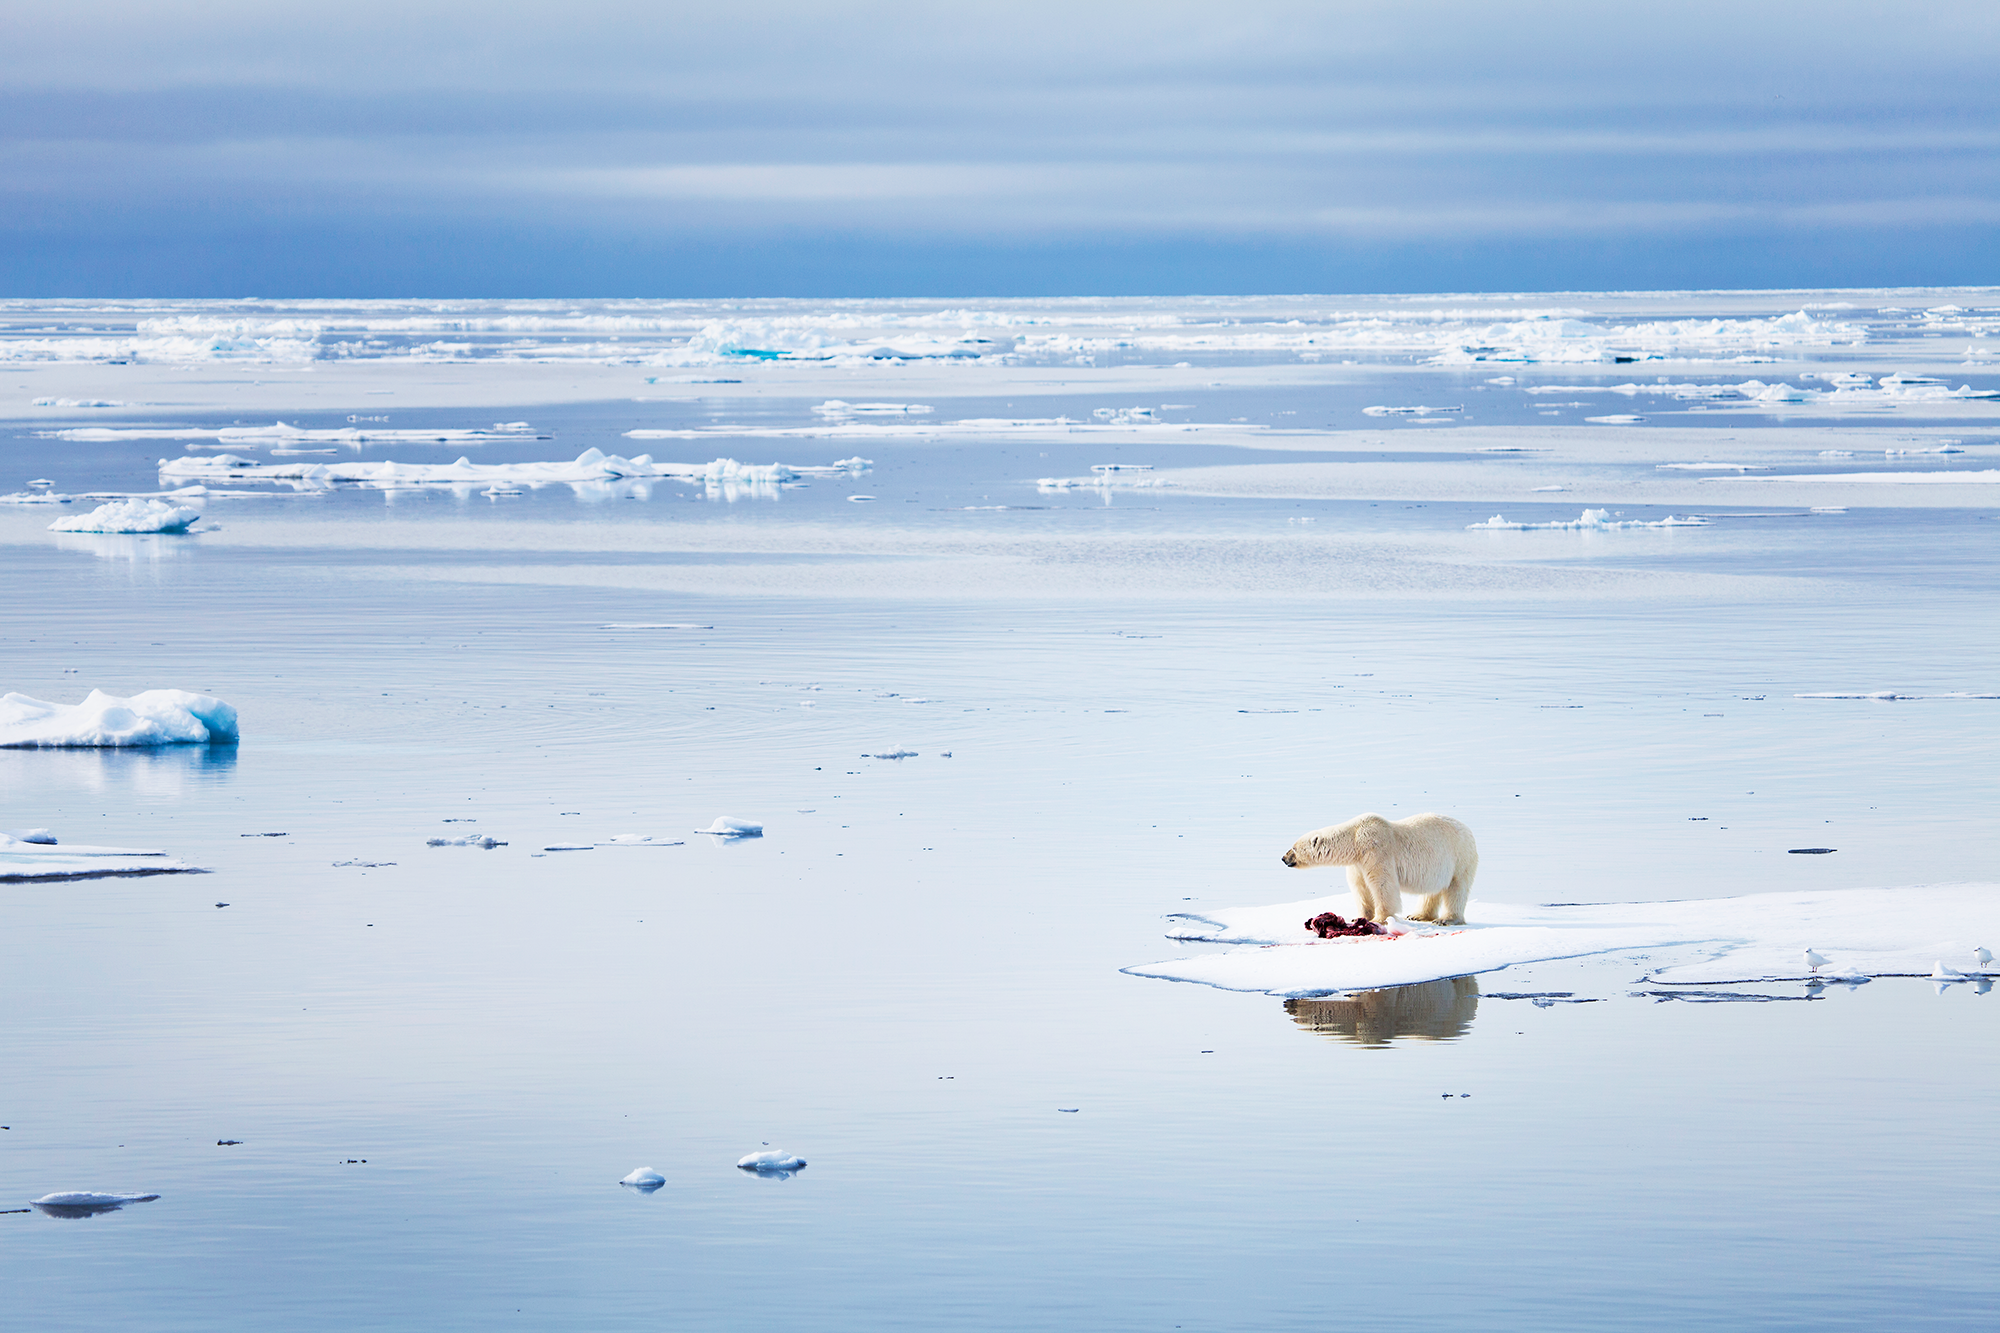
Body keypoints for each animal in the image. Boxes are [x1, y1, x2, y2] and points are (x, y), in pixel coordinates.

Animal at [1272, 808, 1480, 924]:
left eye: (1293, 848)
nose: (1283, 858)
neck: (1354, 838)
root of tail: (1470, 830)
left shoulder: (1375, 849)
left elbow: (1382, 884)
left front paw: (1381, 919)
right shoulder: (1357, 862)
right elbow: (1360, 887)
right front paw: (1359, 917)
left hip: (1460, 856)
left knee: (1456, 888)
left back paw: (1446, 919)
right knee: (1433, 891)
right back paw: (1417, 915)